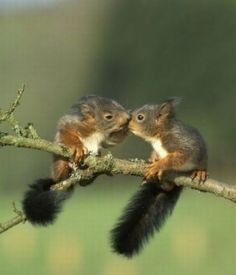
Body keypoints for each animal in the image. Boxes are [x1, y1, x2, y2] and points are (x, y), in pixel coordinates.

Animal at [22, 95, 130, 226]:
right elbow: (67, 131)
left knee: (85, 182)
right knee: (62, 173)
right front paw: (77, 147)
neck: (96, 129)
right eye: (109, 116)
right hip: (58, 164)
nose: (128, 117)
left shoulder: (107, 138)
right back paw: (68, 167)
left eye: (120, 106)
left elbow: (115, 140)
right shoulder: (72, 124)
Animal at [109, 98, 207, 258]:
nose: (126, 121)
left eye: (140, 117)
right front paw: (152, 159)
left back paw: (200, 172)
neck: (157, 136)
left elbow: (176, 157)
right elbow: (156, 155)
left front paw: (158, 165)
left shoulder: (181, 144)